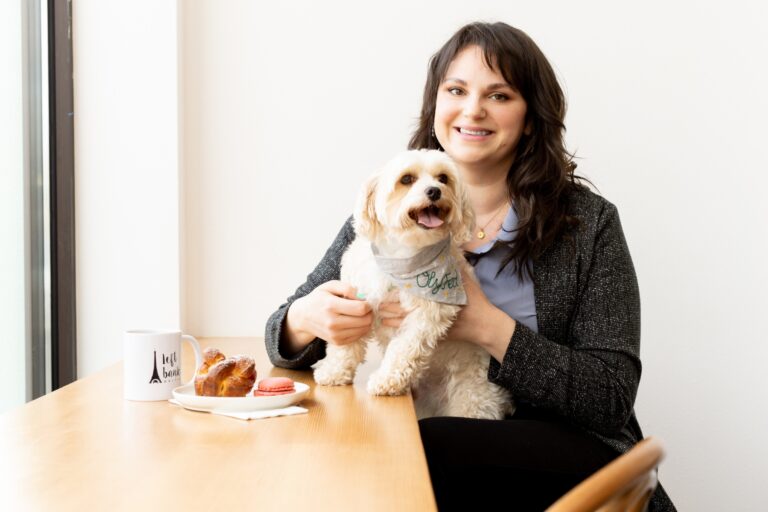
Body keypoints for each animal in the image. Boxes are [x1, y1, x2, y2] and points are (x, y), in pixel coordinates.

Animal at [312, 148, 516, 420]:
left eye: (443, 178)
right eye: (406, 179)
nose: (435, 191)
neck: (403, 256)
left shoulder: (430, 313)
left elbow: (404, 348)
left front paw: (386, 380)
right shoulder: (357, 299)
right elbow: (345, 344)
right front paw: (334, 371)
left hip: (472, 400)